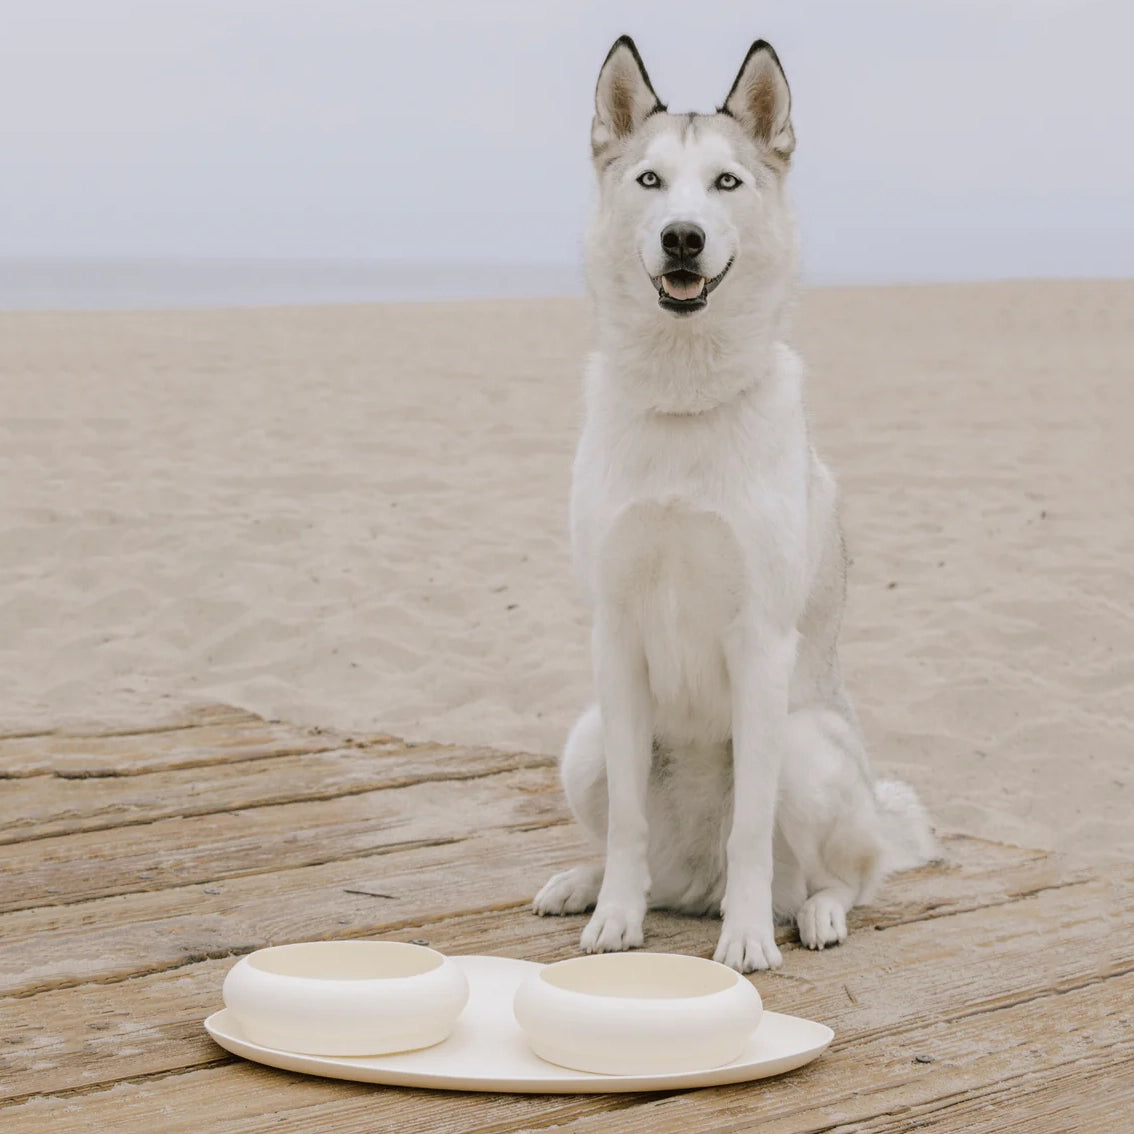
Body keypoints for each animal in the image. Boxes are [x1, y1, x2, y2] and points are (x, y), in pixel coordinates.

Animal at [530, 37, 938, 975]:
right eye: (650, 181)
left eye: (726, 183)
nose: (683, 237)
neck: (686, 402)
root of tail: (695, 886)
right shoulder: (614, 634)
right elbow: (628, 828)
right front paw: (613, 919)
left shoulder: (760, 641)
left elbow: (751, 826)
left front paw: (748, 937)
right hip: (587, 738)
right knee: (645, 854)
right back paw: (589, 886)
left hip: (806, 747)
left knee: (843, 877)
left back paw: (808, 914)